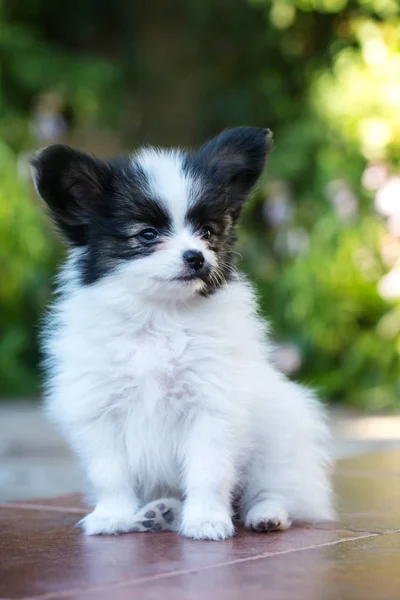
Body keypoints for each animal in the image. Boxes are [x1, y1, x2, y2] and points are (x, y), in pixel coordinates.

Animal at [31, 126, 332, 540]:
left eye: (207, 232)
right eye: (147, 234)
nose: (197, 257)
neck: (159, 316)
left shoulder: (212, 406)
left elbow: (208, 471)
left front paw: (206, 520)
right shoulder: (99, 410)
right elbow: (110, 473)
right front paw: (112, 516)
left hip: (278, 445)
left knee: (275, 491)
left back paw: (265, 515)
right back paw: (160, 513)